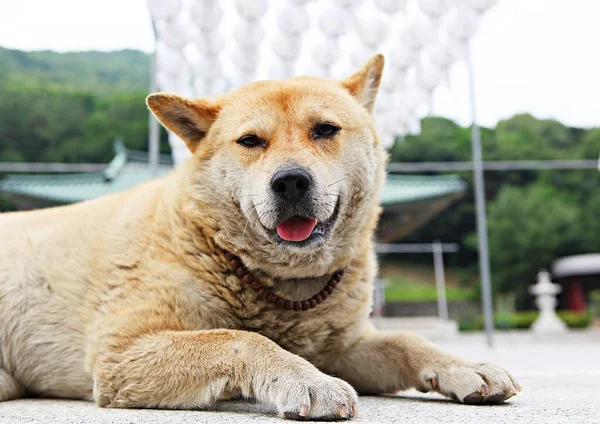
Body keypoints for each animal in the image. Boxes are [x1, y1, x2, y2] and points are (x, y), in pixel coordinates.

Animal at [0, 56, 520, 420]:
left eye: (325, 129)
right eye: (251, 141)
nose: (290, 181)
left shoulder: (341, 346)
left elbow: (407, 341)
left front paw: (464, 366)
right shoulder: (121, 351)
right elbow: (240, 337)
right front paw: (304, 379)